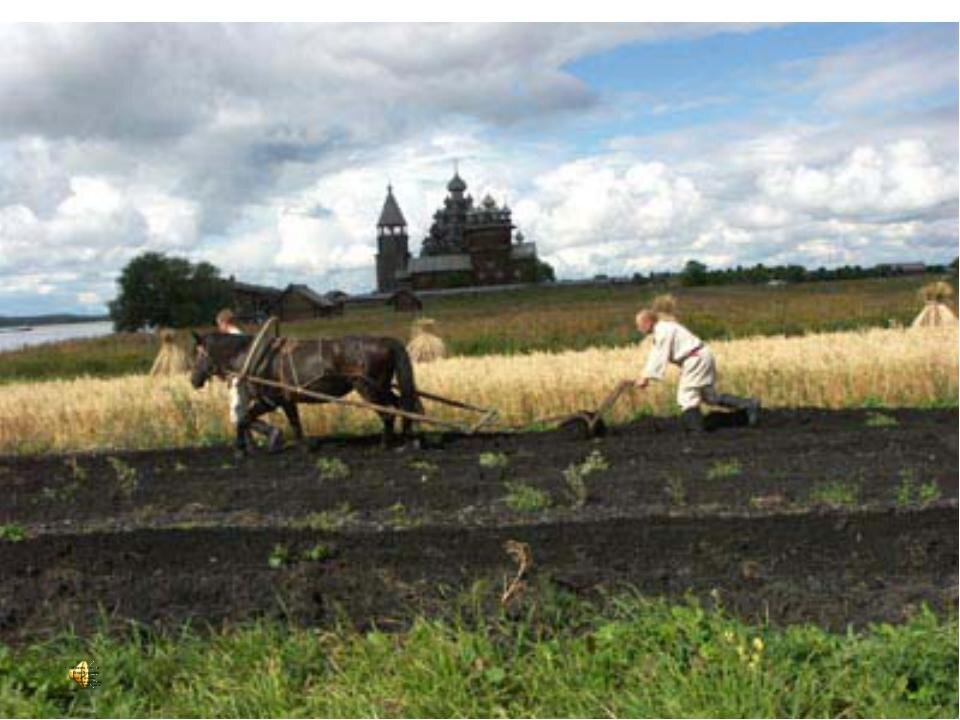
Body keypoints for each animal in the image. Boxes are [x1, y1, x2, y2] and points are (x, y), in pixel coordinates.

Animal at [189, 332, 422, 456]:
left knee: (388, 414)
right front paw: (301, 445)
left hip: (369, 389)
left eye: (198, 354)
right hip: (382, 387)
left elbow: (244, 418)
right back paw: (408, 438)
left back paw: (385, 445)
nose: (193, 380)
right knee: (402, 405)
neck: (253, 357)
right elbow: (294, 424)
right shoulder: (286, 400)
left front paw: (241, 449)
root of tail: (386, 341)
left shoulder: (272, 400)